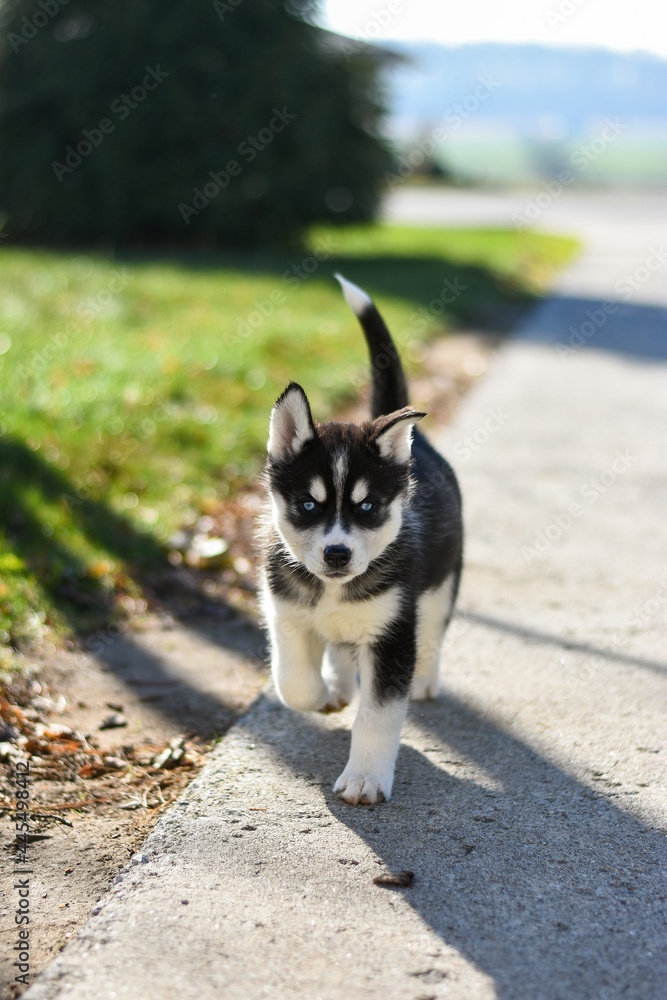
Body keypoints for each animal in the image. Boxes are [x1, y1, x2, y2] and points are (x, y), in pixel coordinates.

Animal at [260, 274, 464, 804]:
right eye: (309, 505)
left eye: (367, 507)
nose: (337, 554)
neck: (332, 589)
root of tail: (418, 446)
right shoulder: (285, 613)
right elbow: (293, 682)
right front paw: (322, 693)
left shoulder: (391, 634)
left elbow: (378, 715)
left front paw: (365, 778)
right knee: (336, 644)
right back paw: (338, 682)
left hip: (443, 580)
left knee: (432, 632)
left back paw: (425, 679)